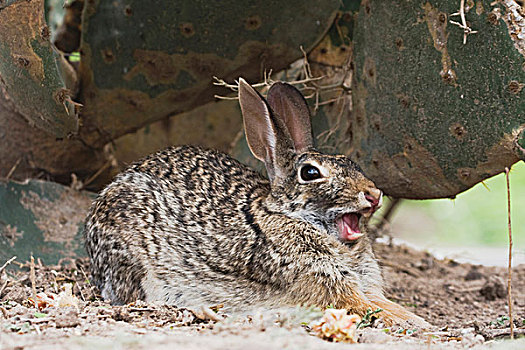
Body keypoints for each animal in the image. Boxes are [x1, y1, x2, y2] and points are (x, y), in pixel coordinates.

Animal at [84, 78, 428, 326]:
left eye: (350, 162)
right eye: (310, 173)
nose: (373, 194)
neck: (285, 216)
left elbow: (384, 304)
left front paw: (418, 320)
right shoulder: (325, 286)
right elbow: (366, 307)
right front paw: (419, 326)